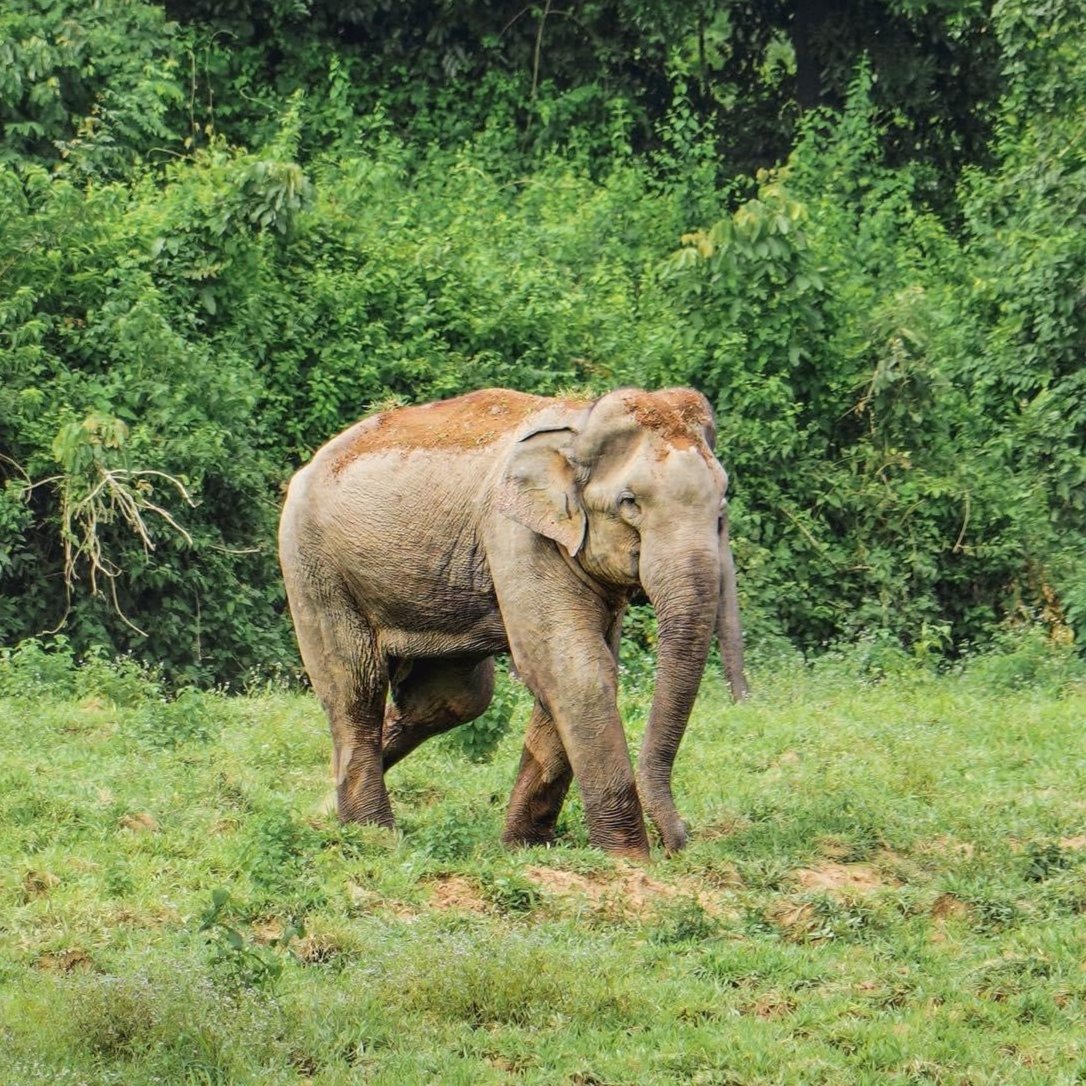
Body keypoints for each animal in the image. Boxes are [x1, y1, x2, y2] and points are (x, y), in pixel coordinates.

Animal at [280, 386, 747, 860]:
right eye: (629, 502)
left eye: (721, 503)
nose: (679, 842)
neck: (580, 422)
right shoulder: (517, 531)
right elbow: (574, 669)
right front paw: (627, 860)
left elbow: (570, 671)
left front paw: (524, 848)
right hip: (314, 564)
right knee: (357, 687)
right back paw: (374, 835)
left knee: (451, 700)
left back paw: (326, 810)